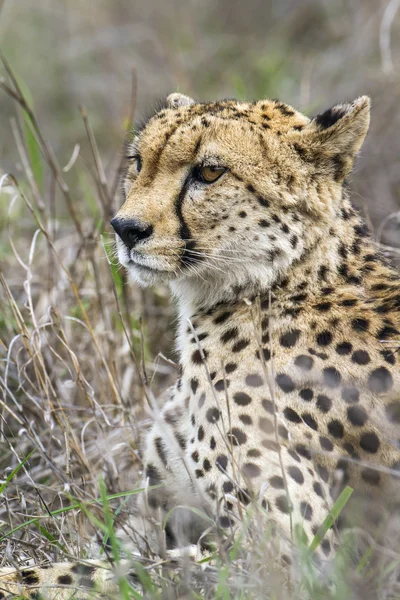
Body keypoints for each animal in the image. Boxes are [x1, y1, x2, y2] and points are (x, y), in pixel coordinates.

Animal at [1, 91, 398, 596]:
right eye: (139, 162)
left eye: (209, 172)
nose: (125, 228)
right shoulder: (155, 520)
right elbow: (106, 554)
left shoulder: (292, 561)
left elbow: (115, 570)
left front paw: (16, 580)